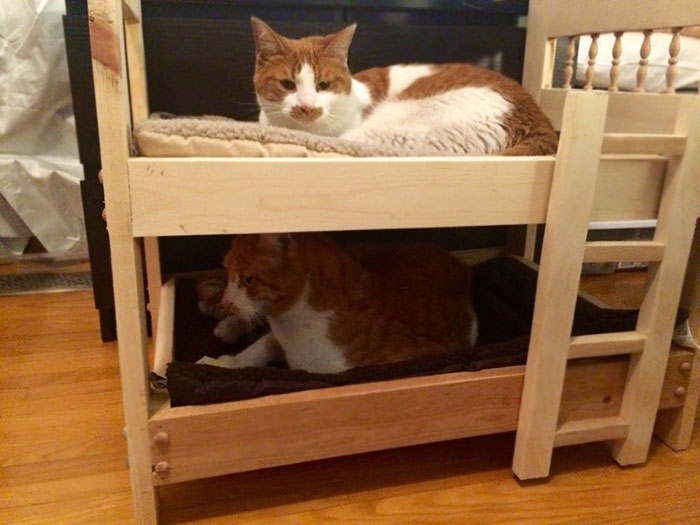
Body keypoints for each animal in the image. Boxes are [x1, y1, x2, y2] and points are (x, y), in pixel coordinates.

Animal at [200, 233, 478, 372]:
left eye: (248, 280)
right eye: (228, 272)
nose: (227, 302)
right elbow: (256, 349)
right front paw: (221, 362)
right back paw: (227, 326)